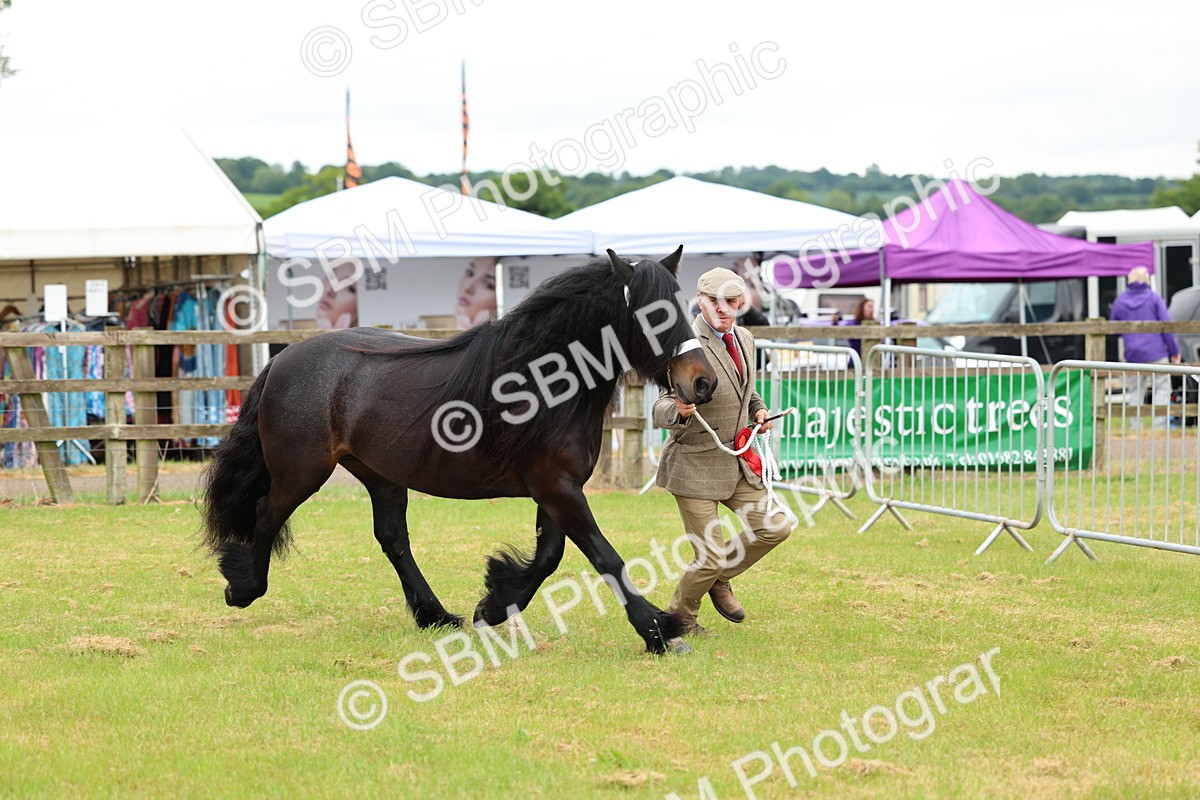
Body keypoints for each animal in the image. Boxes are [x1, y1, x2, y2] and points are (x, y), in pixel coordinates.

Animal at [200, 247, 718, 653]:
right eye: (654, 315)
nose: (703, 383)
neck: (545, 382)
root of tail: (282, 358)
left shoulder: (557, 488)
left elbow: (549, 556)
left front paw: (494, 604)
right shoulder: (557, 488)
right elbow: (604, 557)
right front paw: (659, 631)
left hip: (379, 475)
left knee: (392, 538)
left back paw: (434, 614)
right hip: (301, 473)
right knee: (266, 514)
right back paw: (243, 588)